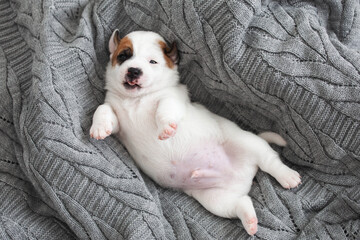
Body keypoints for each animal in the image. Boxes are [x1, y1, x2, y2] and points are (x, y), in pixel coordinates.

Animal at [90, 30, 300, 236]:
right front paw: (98, 128)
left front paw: (166, 128)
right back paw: (250, 221)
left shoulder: (172, 98)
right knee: (241, 202)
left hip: (248, 143)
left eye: (153, 62)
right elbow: (103, 109)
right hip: (217, 199)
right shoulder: (116, 116)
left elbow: (164, 109)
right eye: (123, 56)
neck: (135, 100)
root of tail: (246, 174)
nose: (134, 70)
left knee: (270, 161)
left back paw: (288, 177)